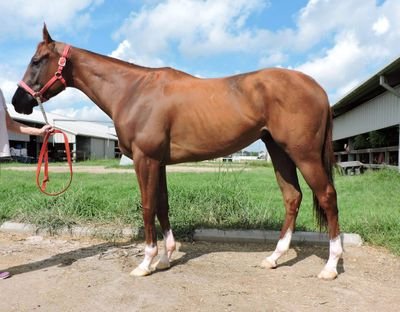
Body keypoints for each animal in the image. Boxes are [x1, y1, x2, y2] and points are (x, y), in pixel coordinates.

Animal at [13, 25, 344, 280]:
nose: (18, 102)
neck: (133, 91)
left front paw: (146, 262)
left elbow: (148, 206)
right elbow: (162, 204)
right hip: (279, 150)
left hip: (304, 153)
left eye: (36, 60)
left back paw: (330, 266)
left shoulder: (145, 160)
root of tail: (317, 87)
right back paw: (274, 257)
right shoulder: (158, 162)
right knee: (292, 197)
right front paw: (165, 258)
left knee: (327, 196)